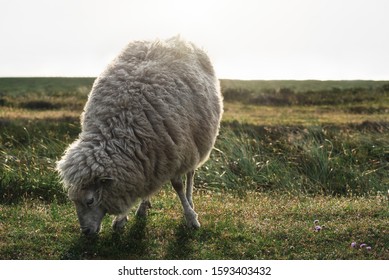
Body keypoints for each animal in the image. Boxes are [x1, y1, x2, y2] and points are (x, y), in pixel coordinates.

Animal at [56, 36, 223, 235]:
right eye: (73, 199)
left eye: (90, 200)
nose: (86, 233)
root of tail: (174, 38)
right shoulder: (148, 156)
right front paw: (121, 219)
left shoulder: (177, 149)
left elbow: (178, 186)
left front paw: (191, 217)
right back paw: (143, 207)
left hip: (197, 140)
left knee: (190, 175)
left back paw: (190, 201)